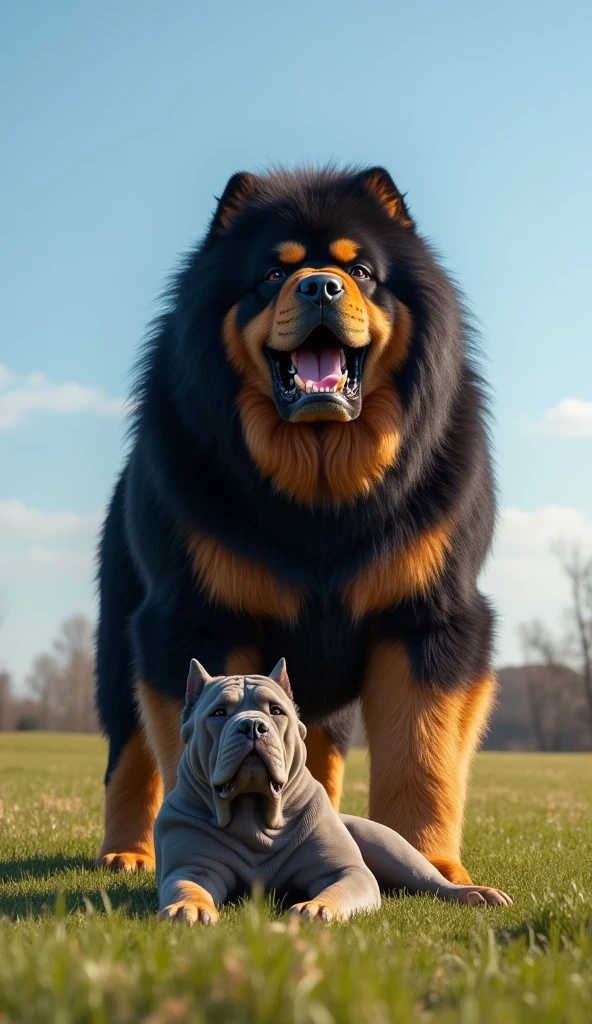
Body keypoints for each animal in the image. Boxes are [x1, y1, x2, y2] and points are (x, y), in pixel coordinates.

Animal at [95, 163, 493, 884]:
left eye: (360, 270)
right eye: (274, 273)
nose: (320, 285)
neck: (321, 488)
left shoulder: (430, 617)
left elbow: (421, 754)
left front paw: (430, 862)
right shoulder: (193, 616)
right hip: (120, 635)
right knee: (129, 753)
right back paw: (127, 852)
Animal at [154, 659, 510, 925]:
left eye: (276, 711)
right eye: (218, 713)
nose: (252, 725)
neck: (255, 815)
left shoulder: (347, 871)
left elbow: (339, 888)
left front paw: (318, 907)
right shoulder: (193, 868)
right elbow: (188, 886)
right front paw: (190, 907)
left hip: (391, 848)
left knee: (433, 882)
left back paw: (476, 893)